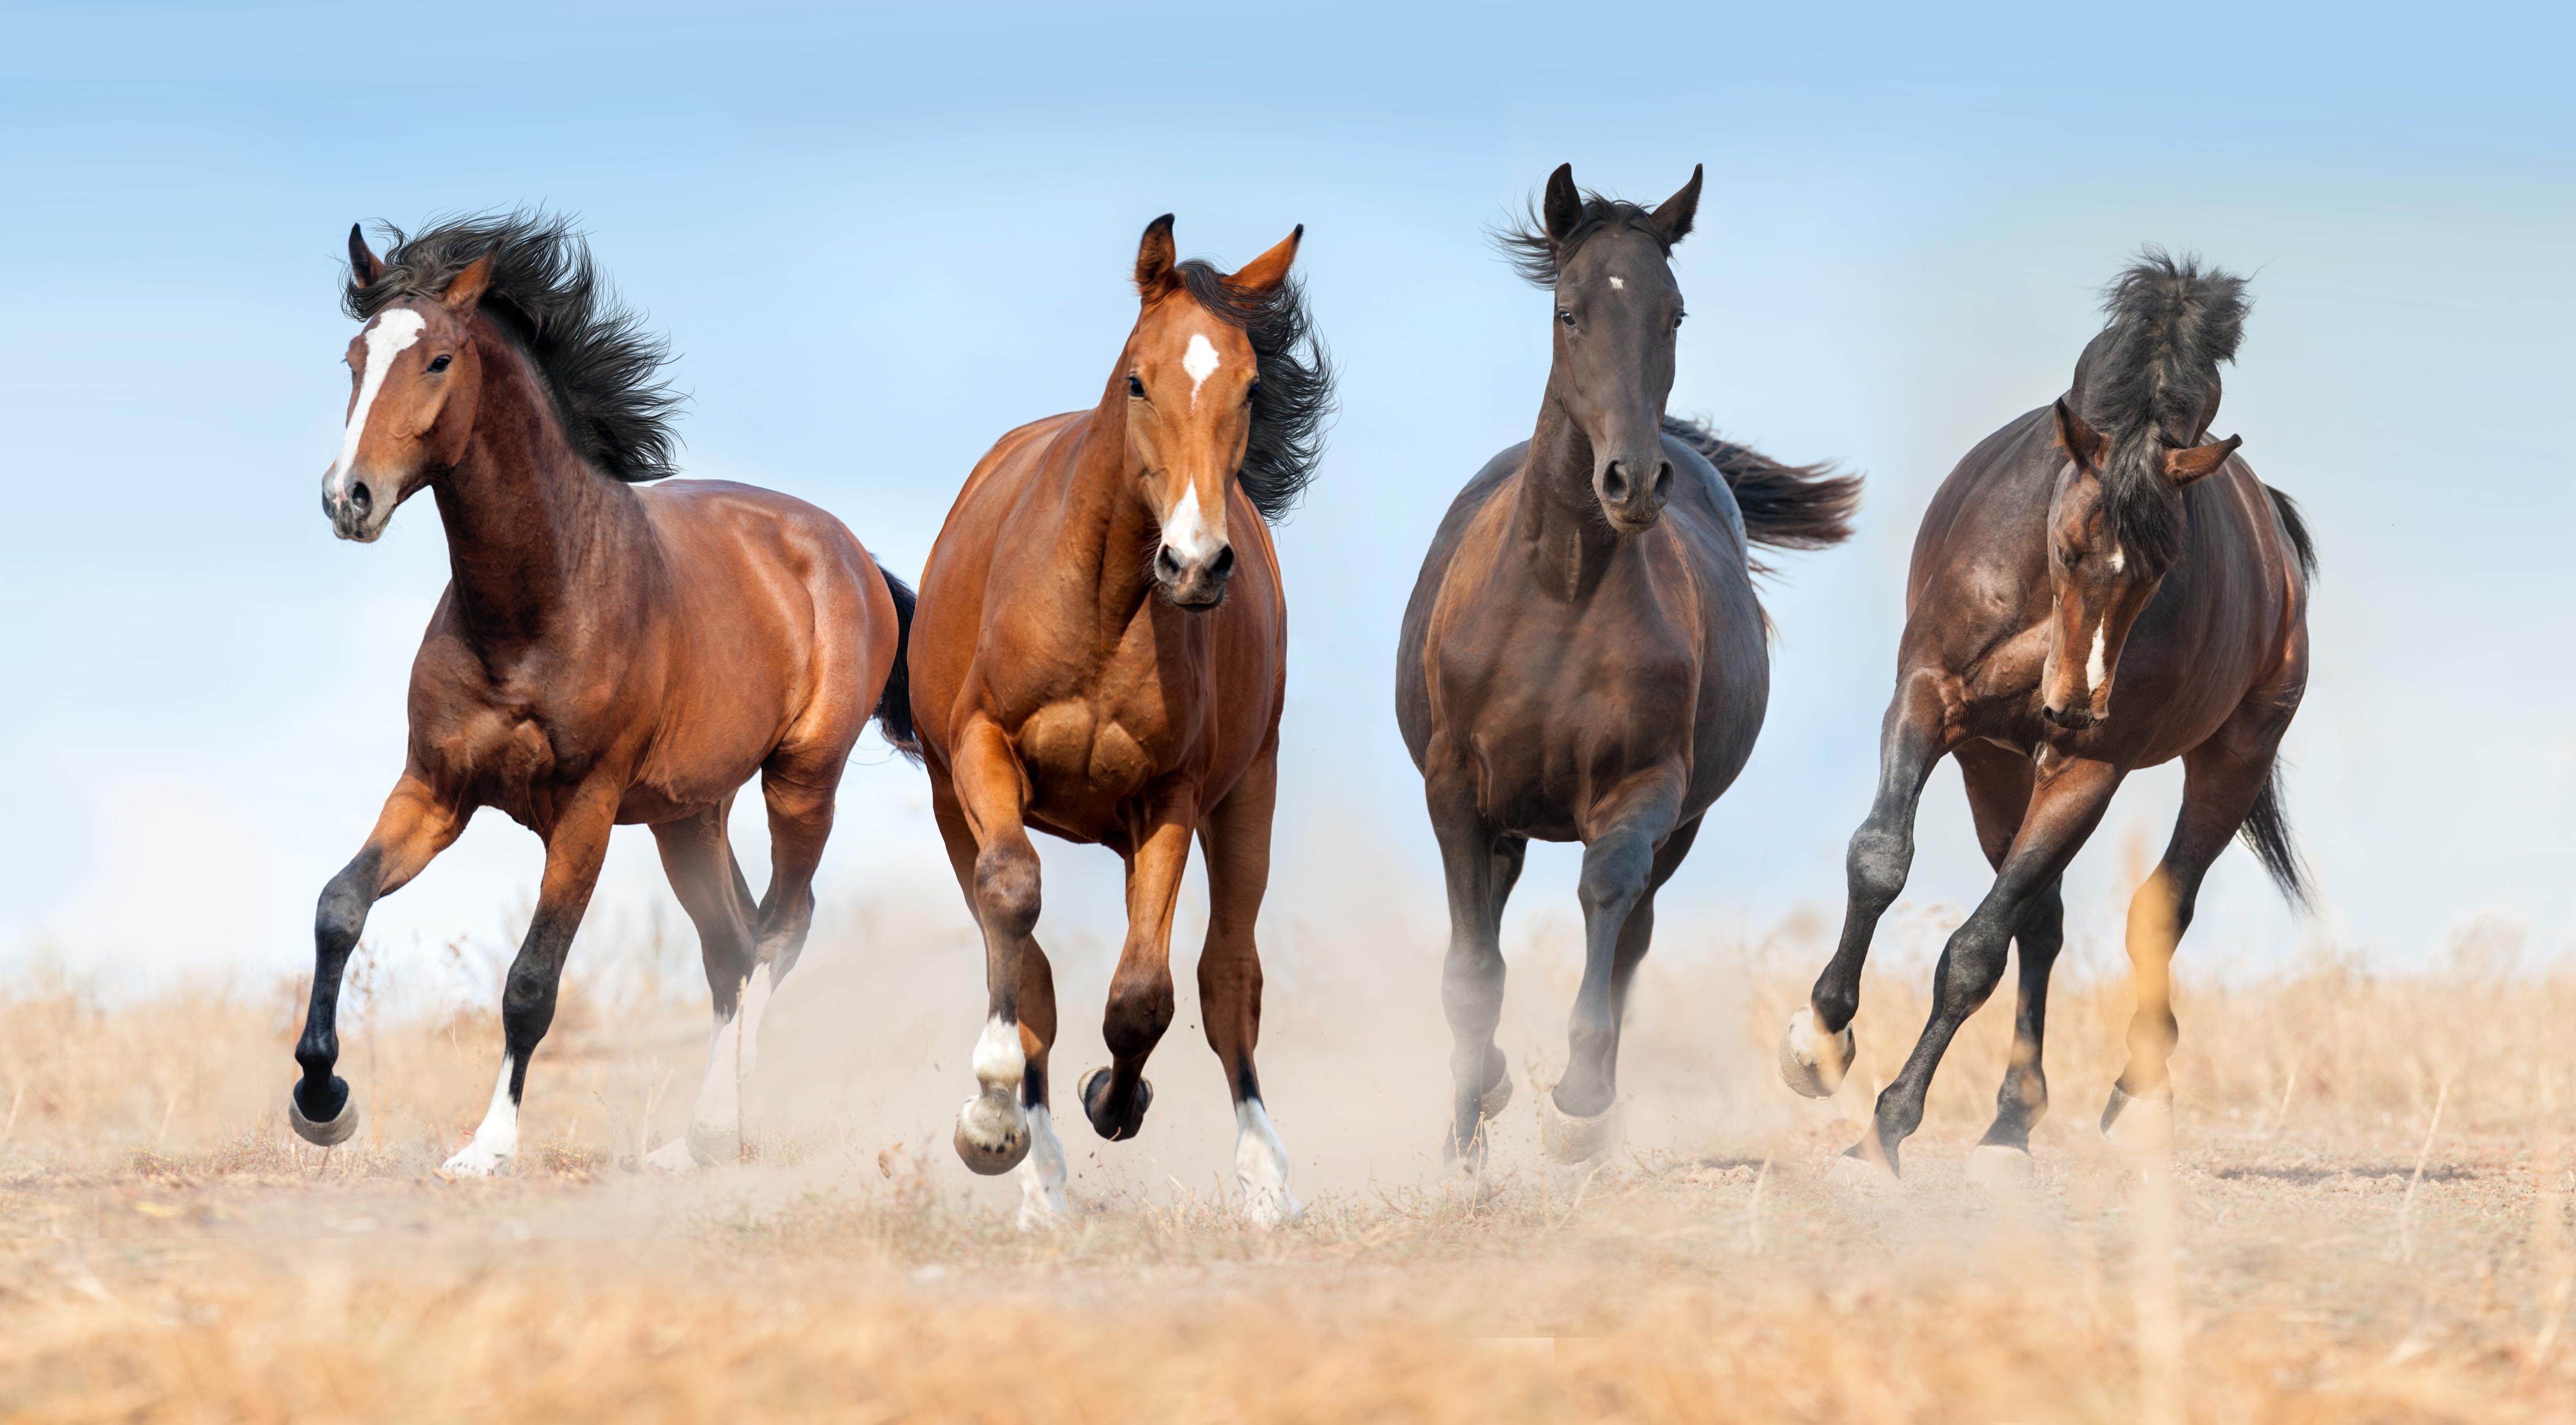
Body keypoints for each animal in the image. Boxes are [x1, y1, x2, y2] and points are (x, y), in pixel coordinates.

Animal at [290, 209, 917, 1165]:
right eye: (354, 358)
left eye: (437, 360)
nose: (347, 499)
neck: (539, 605)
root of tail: (852, 554)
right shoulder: (435, 788)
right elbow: (339, 907)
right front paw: (323, 1099)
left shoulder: (584, 811)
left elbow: (530, 982)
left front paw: (487, 1148)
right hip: (687, 815)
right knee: (732, 945)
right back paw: (692, 1142)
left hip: (802, 780)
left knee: (782, 927)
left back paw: (719, 1124)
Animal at [912, 211, 1329, 1221]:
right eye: (1139, 378)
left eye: (1249, 385)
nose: (1196, 563)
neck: (1103, 606)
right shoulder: (981, 752)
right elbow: (1015, 908)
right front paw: (993, 1117)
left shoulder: (1172, 795)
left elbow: (1147, 991)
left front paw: (1116, 1094)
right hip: (952, 800)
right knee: (1024, 956)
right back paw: (1036, 1169)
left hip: (1246, 794)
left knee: (1229, 974)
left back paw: (1263, 1175)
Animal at [1401, 166, 1865, 1165]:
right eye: (1569, 310)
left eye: (1673, 312)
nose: (1633, 482)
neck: (1561, 593)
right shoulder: (1456, 788)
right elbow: (1471, 968)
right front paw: (1468, 1128)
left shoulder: (1646, 788)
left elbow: (1607, 898)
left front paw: (1577, 1102)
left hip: (1681, 823)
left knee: (1635, 927)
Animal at [1782, 252, 2328, 1180]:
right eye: (2070, 546)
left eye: (2162, 567)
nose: (2073, 702)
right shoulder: (1929, 699)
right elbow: (1880, 858)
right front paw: (1819, 1043)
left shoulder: (2087, 768)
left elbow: (1973, 953)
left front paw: (1887, 1126)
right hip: (1998, 766)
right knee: (2042, 923)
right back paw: (2010, 1121)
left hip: (2233, 758)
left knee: (2155, 908)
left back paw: (2129, 1095)